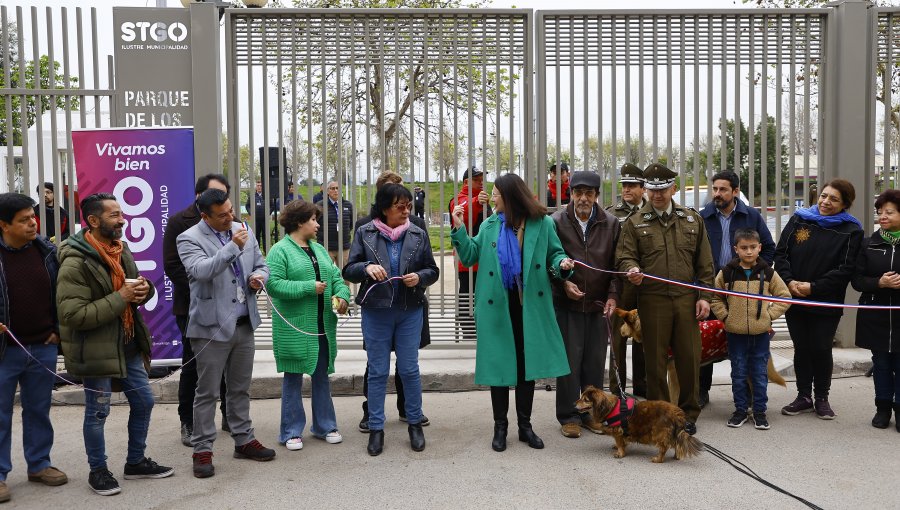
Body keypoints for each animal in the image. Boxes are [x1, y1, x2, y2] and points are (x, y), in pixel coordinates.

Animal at [576, 384, 704, 464]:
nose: (574, 404)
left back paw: (658, 459)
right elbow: (621, 442)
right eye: (580, 397)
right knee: (677, 443)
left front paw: (620, 453)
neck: (610, 408)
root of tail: (677, 413)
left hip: (658, 433)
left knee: (664, 448)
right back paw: (676, 456)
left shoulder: (618, 432)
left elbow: (620, 443)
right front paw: (617, 446)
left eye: (586, 400)